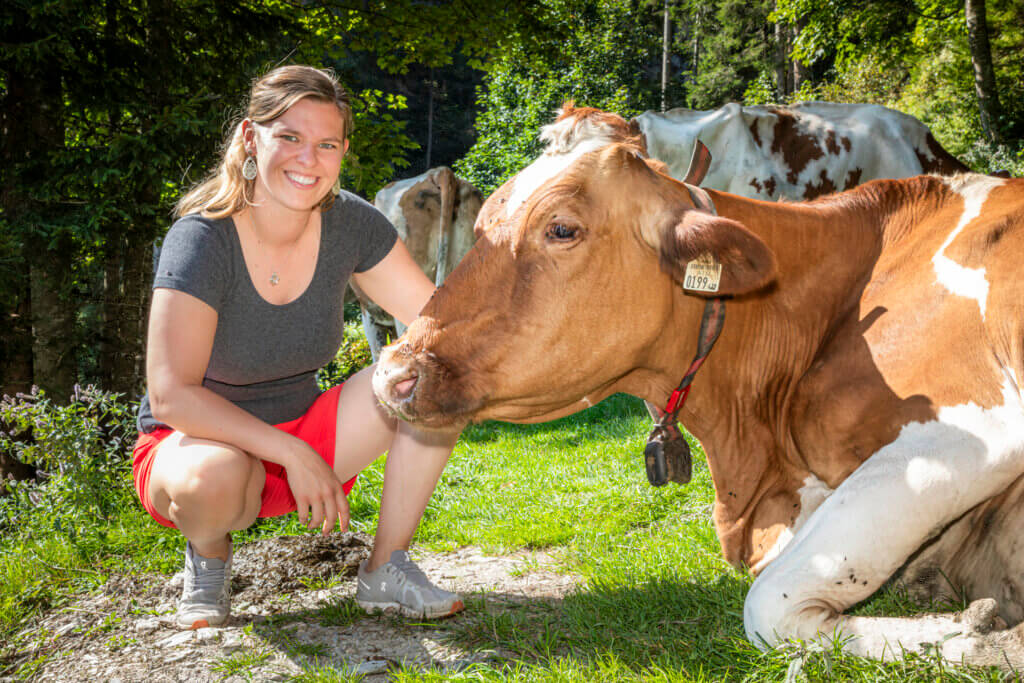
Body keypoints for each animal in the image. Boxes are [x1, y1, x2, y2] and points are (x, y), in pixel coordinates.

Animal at [374, 140, 1024, 671]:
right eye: (481, 224)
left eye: (561, 229)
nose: (391, 374)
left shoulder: (973, 430)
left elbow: (767, 609)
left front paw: (980, 636)